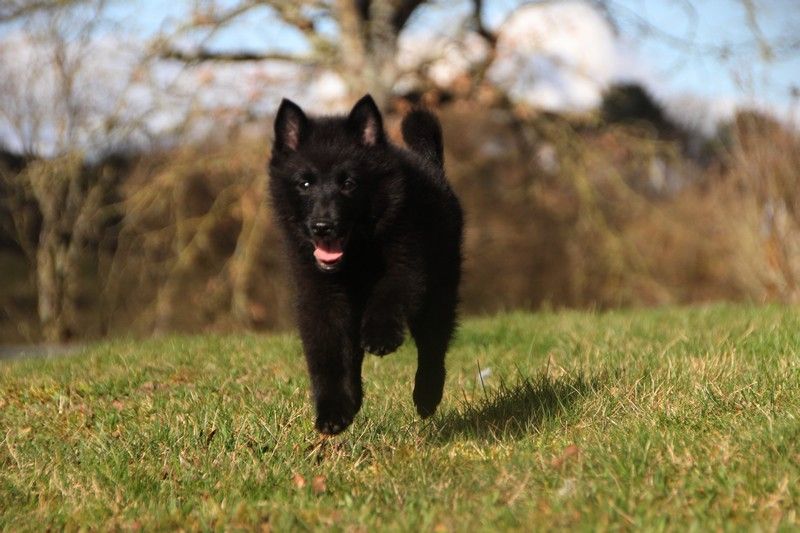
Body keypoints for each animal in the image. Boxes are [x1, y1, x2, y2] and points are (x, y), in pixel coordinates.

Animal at [268, 95, 463, 434]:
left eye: (349, 183)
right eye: (304, 183)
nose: (323, 226)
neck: (356, 254)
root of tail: (432, 165)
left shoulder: (405, 262)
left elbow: (388, 293)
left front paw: (380, 336)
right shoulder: (319, 296)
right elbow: (328, 352)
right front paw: (333, 411)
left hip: (440, 287)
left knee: (433, 345)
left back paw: (427, 395)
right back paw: (354, 399)